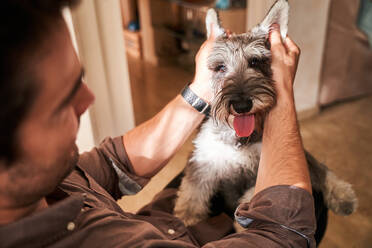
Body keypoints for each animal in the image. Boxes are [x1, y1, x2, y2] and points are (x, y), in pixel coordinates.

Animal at [174, 0, 358, 228]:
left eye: (255, 62)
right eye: (220, 67)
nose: (242, 105)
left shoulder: (267, 169)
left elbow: (255, 195)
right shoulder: (203, 161)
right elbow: (193, 192)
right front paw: (186, 218)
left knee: (318, 166)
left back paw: (343, 195)